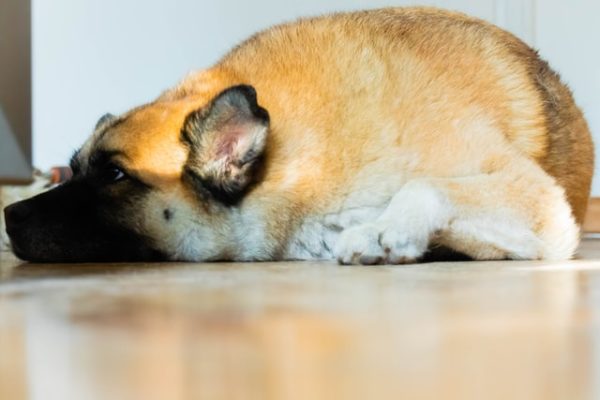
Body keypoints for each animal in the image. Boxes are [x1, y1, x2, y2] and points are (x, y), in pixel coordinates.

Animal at [3, 7, 596, 264]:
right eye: (75, 168)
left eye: (115, 174)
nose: (8, 215)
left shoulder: (540, 203)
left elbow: (424, 186)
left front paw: (388, 231)